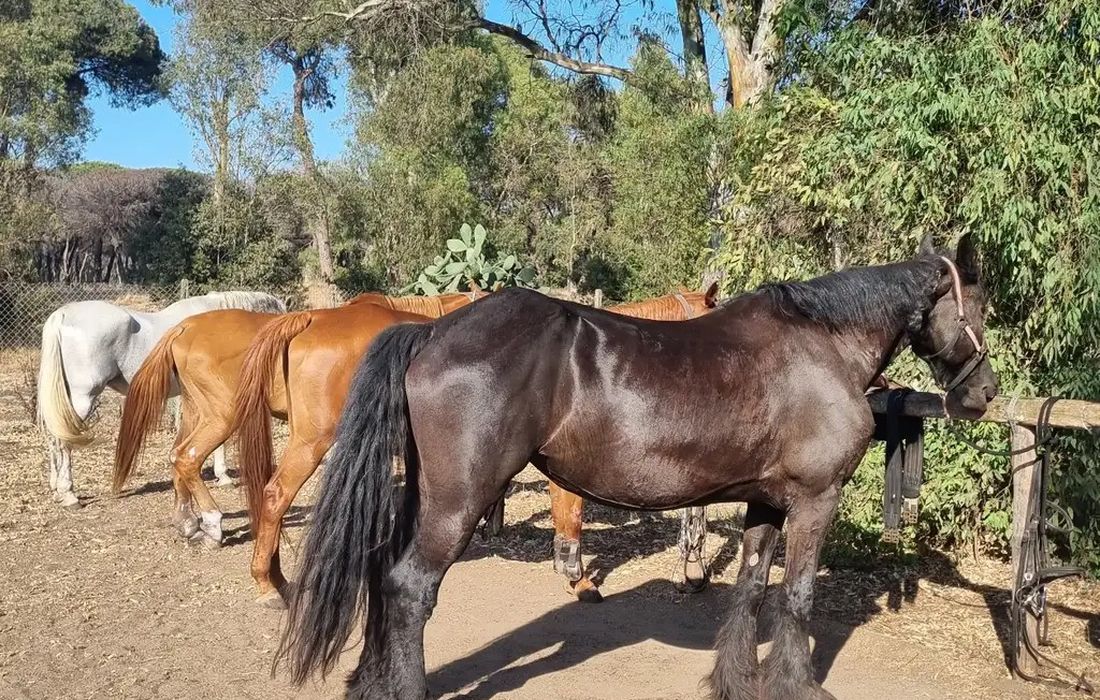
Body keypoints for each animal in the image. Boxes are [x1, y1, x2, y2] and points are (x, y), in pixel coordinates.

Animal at [36, 290, 285, 508]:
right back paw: (69, 494)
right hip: (82, 398)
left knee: (53, 436)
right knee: (62, 440)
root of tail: (62, 315)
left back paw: (56, 489)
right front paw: (223, 476)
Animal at [111, 292, 477, 549]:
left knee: (177, 456)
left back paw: (187, 522)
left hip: (195, 413)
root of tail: (185, 327)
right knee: (188, 458)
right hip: (224, 417)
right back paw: (213, 524)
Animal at [233, 286, 716, 609]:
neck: (590, 362)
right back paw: (266, 583)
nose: (696, 578)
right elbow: (571, 519)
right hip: (312, 441)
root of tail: (311, 319)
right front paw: (578, 581)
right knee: (275, 496)